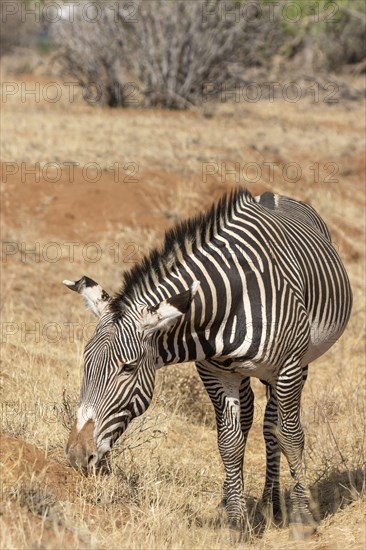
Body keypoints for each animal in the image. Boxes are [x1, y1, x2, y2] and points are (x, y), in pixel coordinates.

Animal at [64, 189, 354, 540]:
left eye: (128, 368)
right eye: (86, 363)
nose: (77, 456)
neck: (226, 305)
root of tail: (271, 195)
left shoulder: (288, 367)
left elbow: (291, 435)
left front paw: (301, 518)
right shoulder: (214, 372)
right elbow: (229, 443)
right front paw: (235, 521)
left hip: (297, 364)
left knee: (274, 427)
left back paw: (273, 502)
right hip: (244, 374)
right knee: (253, 420)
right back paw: (252, 500)